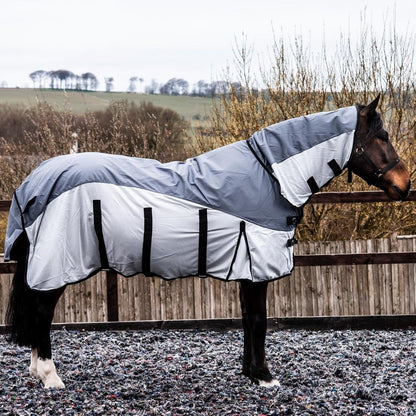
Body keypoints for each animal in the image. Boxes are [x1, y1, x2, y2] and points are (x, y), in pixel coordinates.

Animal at [4, 94, 412, 386]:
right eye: (382, 137)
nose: (404, 185)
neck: (271, 176)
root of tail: (34, 181)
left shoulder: (247, 268)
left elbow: (248, 318)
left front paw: (250, 372)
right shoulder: (257, 266)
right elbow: (259, 319)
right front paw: (265, 378)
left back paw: (37, 372)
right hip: (56, 263)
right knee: (42, 313)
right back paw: (50, 377)